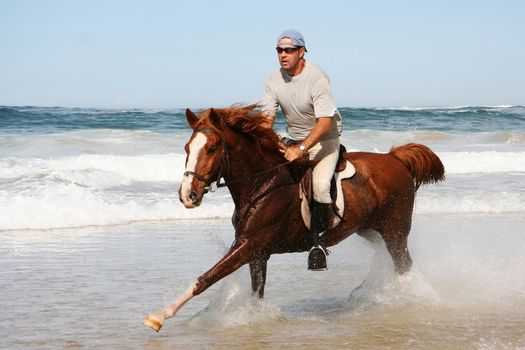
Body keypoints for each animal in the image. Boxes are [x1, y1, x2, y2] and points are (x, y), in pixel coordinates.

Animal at [142, 104, 442, 330]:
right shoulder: (257, 253)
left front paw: (160, 316)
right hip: (370, 230)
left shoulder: (248, 245)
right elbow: (256, 291)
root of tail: (395, 158)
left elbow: (205, 278)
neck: (262, 184)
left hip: (394, 231)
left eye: (213, 148)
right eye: (187, 148)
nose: (188, 195)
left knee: (404, 264)